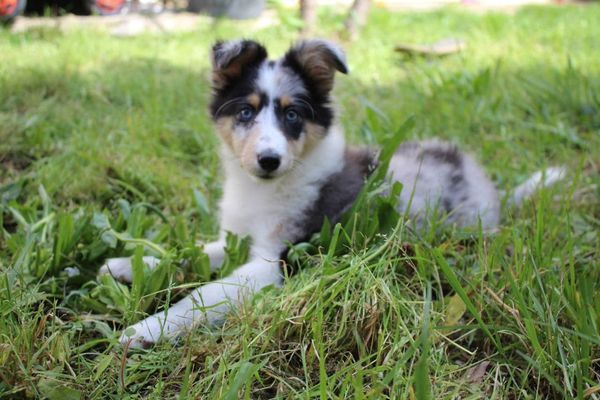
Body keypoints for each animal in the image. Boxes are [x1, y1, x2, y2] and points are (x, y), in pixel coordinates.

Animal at [98, 39, 564, 348]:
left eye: (292, 115)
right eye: (246, 111)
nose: (268, 160)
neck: (268, 188)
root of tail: (486, 185)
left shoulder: (276, 262)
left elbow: (203, 295)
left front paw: (147, 329)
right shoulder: (237, 239)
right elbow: (193, 251)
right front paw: (128, 264)